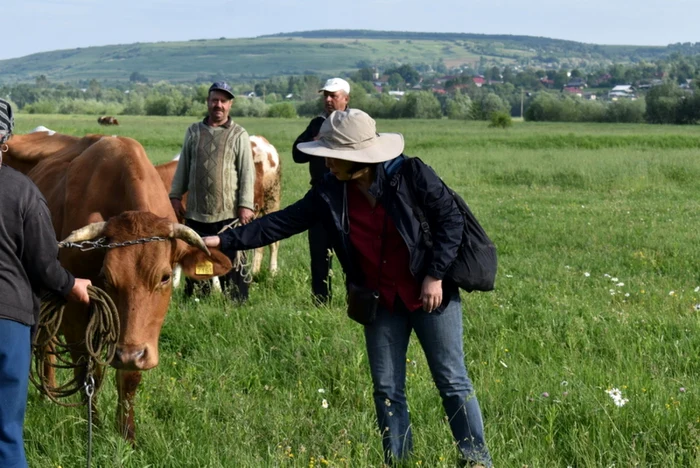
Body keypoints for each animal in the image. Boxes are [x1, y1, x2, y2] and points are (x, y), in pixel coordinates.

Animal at [3, 133, 232, 442]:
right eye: (106, 277)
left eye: (164, 277)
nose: (129, 354)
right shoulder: (74, 315)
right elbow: (88, 372)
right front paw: (95, 428)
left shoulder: (142, 334)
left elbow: (129, 377)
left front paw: (127, 435)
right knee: (46, 345)